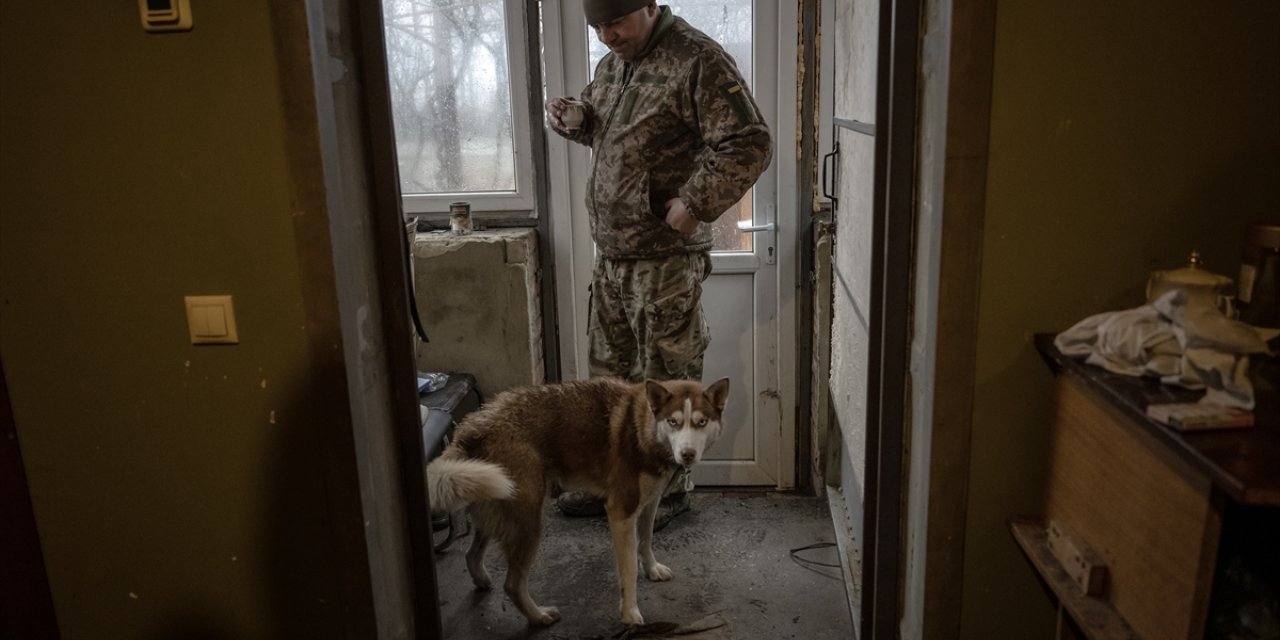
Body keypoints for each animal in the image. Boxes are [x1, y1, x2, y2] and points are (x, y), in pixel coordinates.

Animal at [427, 373, 732, 624]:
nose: (687, 454)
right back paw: (539, 617)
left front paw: (652, 569)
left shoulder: (650, 502)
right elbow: (628, 569)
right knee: (512, 584)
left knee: (471, 555)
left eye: (701, 422)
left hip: (494, 505)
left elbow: (646, 541)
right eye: (673, 422)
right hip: (528, 520)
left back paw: (482, 580)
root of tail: (474, 426)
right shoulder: (621, 511)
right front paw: (630, 614)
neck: (643, 428)